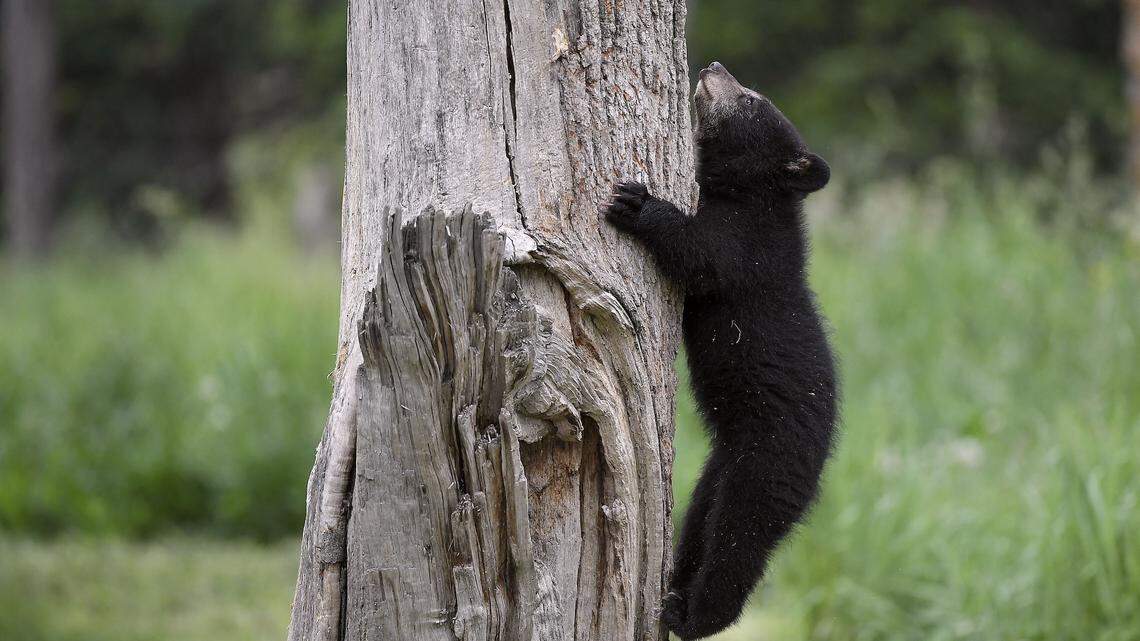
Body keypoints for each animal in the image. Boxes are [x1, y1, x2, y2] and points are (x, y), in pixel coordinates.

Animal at [604, 61, 838, 640]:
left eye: (753, 99)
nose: (713, 67)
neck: (753, 198)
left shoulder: (746, 248)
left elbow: (699, 255)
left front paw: (637, 203)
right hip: (719, 468)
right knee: (700, 525)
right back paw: (674, 591)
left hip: (766, 467)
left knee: (739, 542)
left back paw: (692, 616)